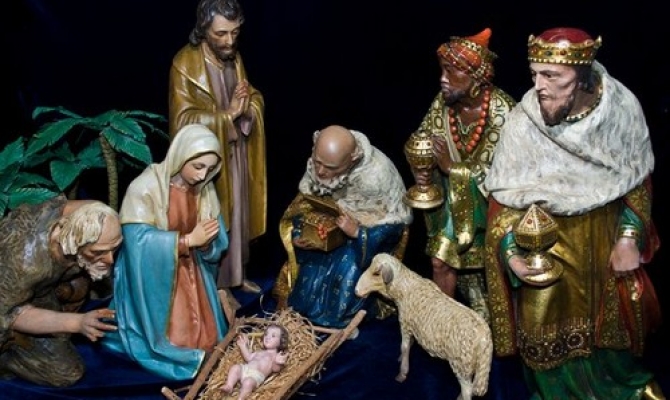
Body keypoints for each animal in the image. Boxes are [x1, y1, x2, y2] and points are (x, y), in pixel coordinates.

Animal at [354, 253, 492, 400]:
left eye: (376, 273)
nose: (356, 290)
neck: (405, 288)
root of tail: (484, 338)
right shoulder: (413, 326)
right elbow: (410, 344)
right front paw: (401, 358)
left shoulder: (405, 324)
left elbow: (404, 347)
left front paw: (402, 373)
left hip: (461, 365)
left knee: (467, 390)